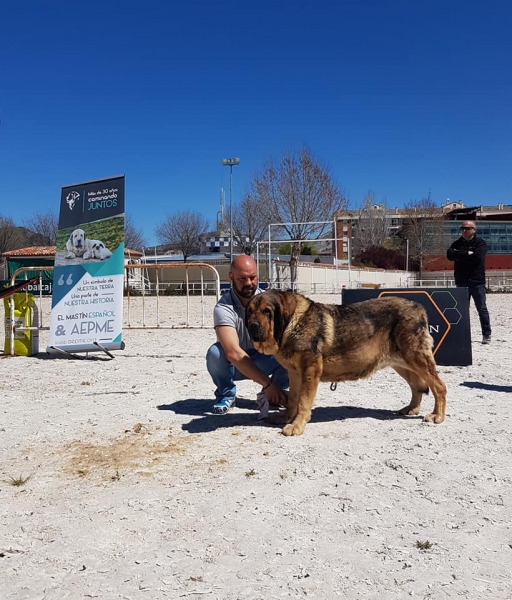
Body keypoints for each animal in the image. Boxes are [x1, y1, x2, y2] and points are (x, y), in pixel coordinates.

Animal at [246, 290, 446, 436]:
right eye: (250, 311)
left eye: (267, 311)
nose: (252, 326)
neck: (292, 324)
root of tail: (417, 306)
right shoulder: (294, 373)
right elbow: (293, 399)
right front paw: (286, 418)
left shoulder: (310, 371)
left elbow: (303, 401)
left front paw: (296, 426)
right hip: (402, 363)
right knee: (416, 386)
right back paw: (412, 408)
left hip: (416, 359)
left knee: (439, 387)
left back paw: (437, 415)